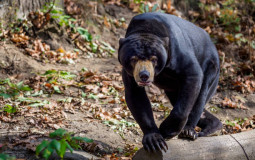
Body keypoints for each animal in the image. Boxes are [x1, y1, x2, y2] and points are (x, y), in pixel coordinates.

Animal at [118, 12, 222, 152]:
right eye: (133, 59)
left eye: (154, 59)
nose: (144, 75)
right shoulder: (129, 73)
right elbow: (136, 96)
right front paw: (154, 140)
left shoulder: (178, 52)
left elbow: (193, 75)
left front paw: (166, 130)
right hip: (174, 89)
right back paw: (213, 125)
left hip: (212, 67)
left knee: (201, 95)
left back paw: (189, 131)